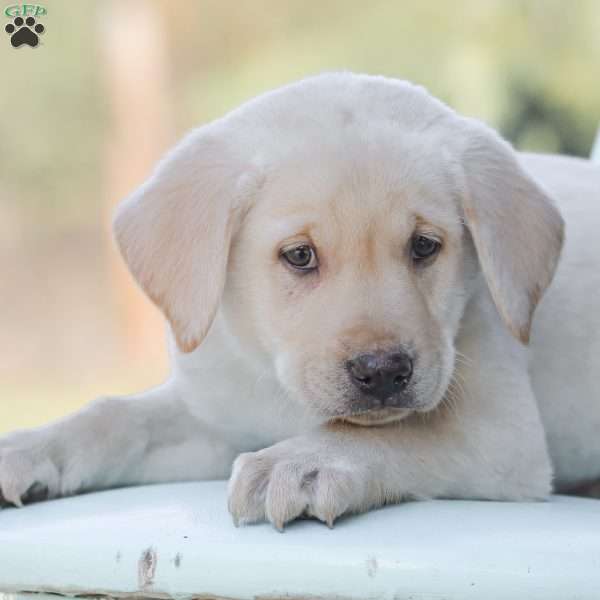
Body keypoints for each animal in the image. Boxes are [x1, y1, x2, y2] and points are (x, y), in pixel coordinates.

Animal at [1, 74, 600, 528]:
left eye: (425, 246)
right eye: (300, 255)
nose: (383, 372)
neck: (277, 383)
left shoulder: (502, 435)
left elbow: (399, 431)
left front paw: (302, 463)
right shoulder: (215, 419)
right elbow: (117, 416)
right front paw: (31, 447)